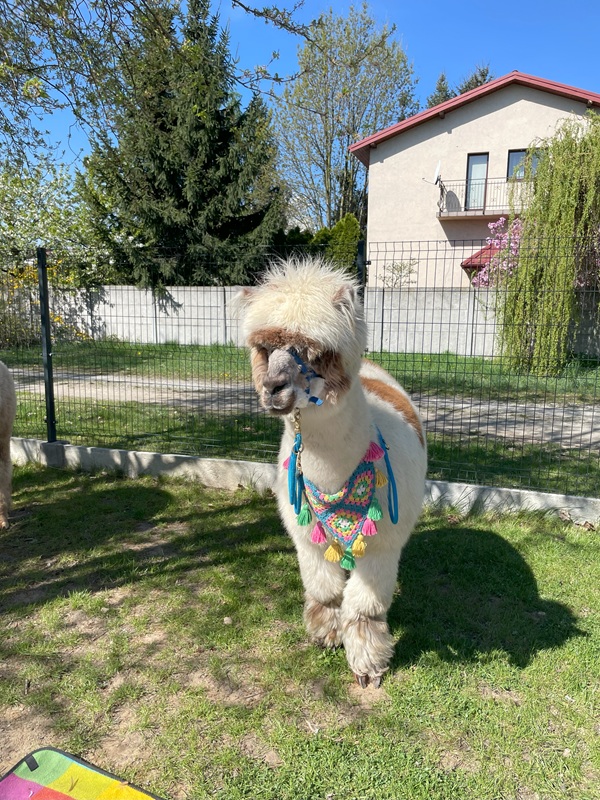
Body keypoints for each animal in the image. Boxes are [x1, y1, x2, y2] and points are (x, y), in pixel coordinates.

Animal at [238, 256, 427, 686]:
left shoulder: (382, 545)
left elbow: (364, 607)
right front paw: (326, 635)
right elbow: (325, 591)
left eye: (314, 351)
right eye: (264, 348)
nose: (273, 388)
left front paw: (368, 667)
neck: (336, 481)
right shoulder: (305, 535)